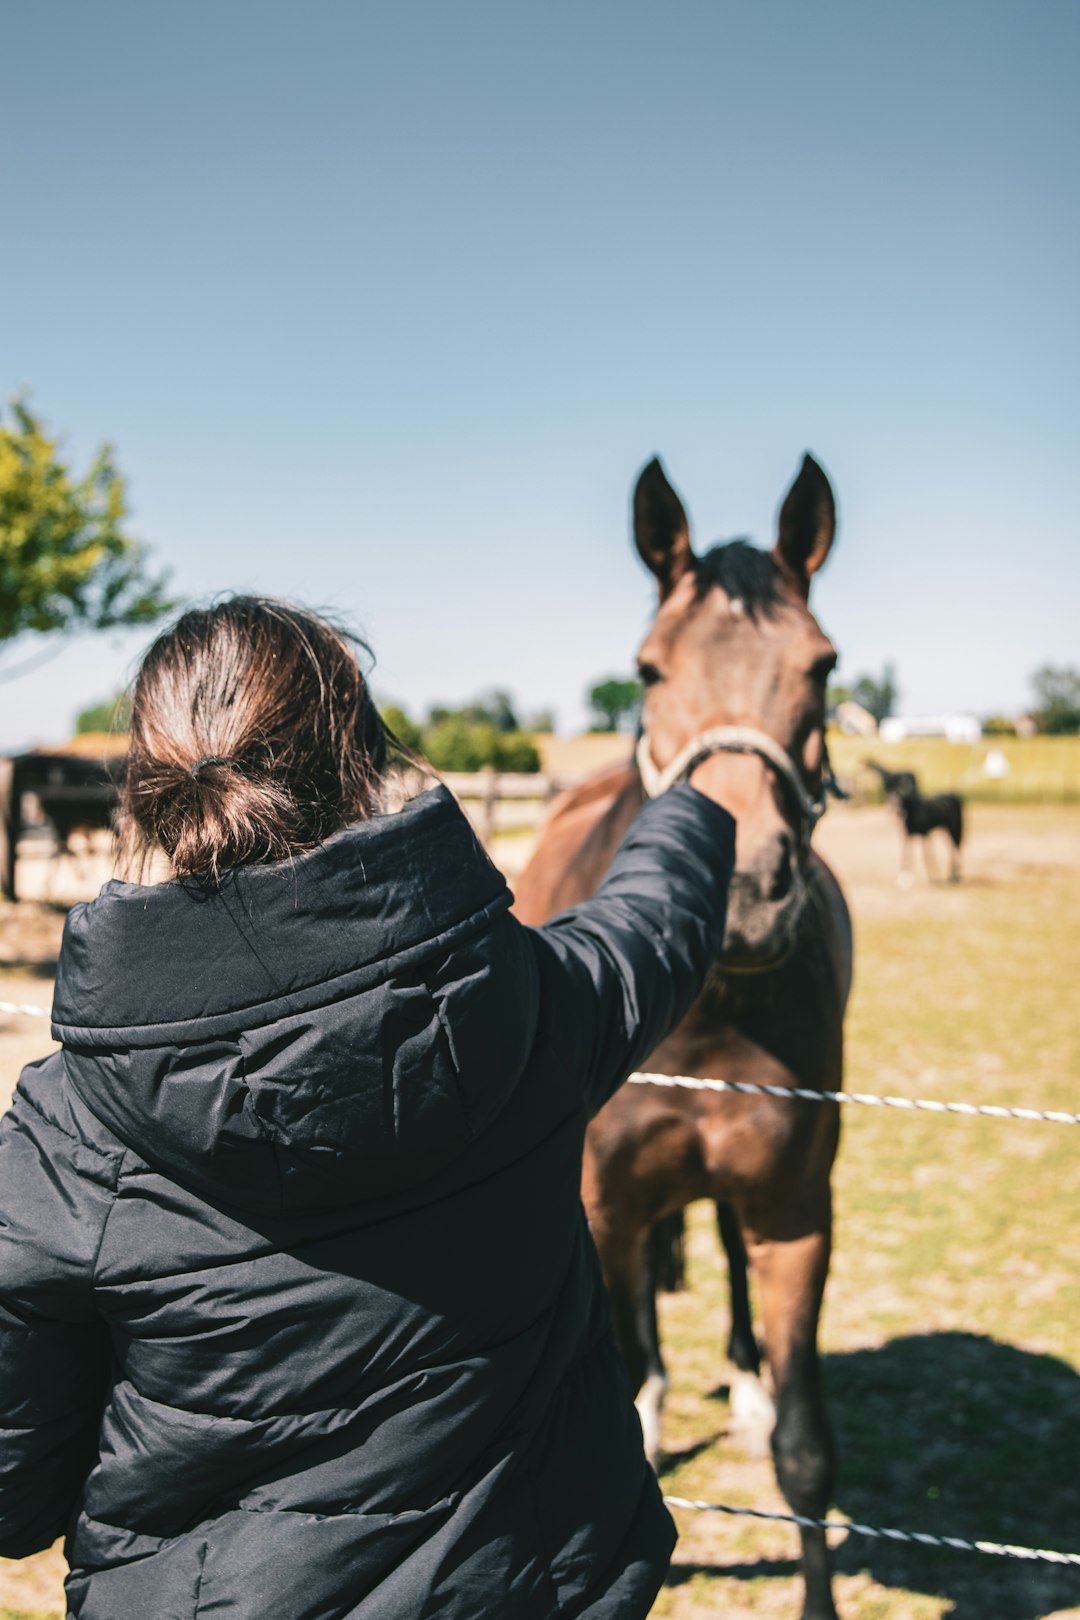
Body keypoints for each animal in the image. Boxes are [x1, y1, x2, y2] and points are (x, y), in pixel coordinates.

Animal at [514, 453, 854, 1620]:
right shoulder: (605, 1206)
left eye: (822, 664)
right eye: (648, 671)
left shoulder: (797, 1214)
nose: (744, 893)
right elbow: (626, 1385)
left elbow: (806, 1452)